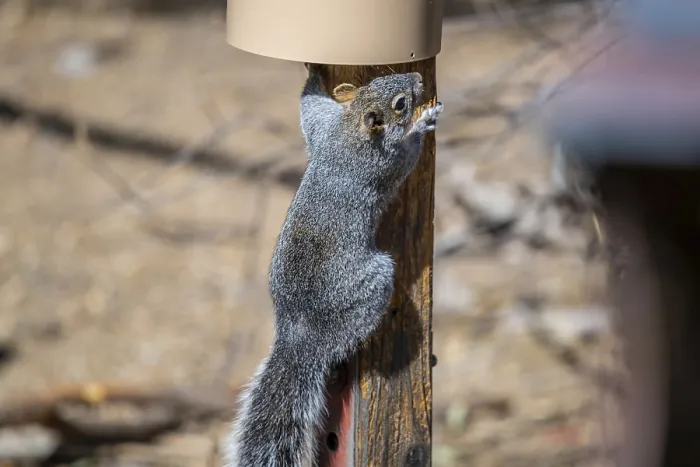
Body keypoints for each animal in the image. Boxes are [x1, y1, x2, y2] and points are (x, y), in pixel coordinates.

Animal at [223, 63, 443, 467]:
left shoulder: (323, 131)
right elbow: (408, 157)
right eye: (400, 103)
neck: (353, 127)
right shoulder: (383, 164)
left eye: (376, 81)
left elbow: (309, 111)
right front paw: (425, 123)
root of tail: (301, 333)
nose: (418, 79)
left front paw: (312, 74)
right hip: (373, 283)